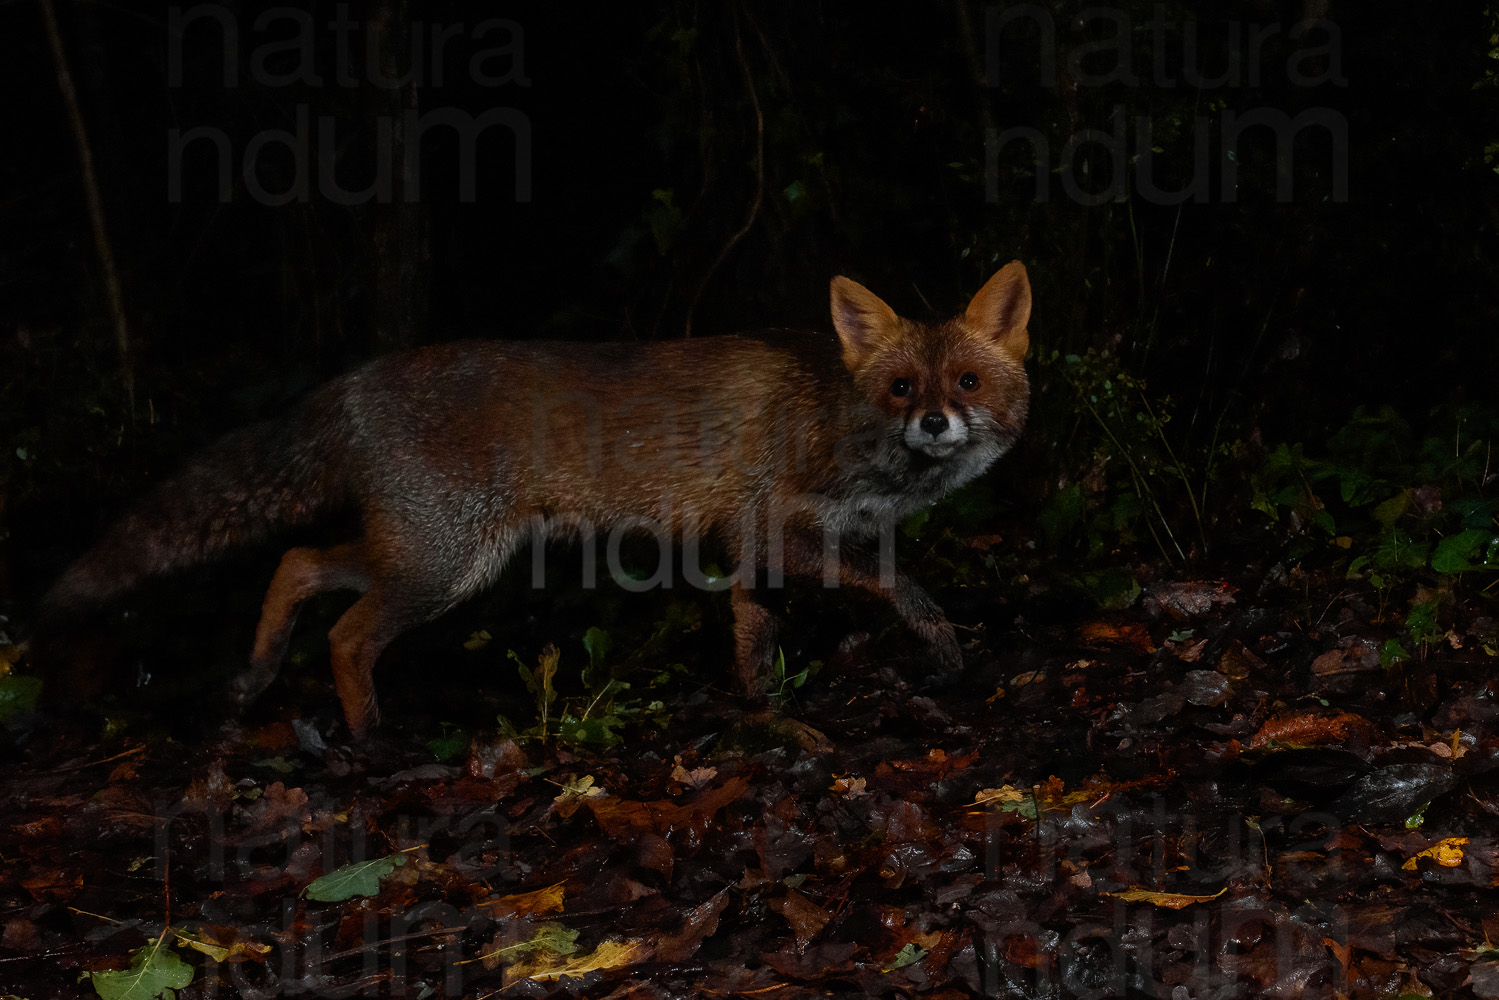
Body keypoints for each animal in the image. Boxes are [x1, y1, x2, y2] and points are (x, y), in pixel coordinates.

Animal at [43, 265, 1031, 734]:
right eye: (901, 387)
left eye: (967, 381)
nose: (935, 423)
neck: (839, 421)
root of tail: (357, 378)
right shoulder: (777, 530)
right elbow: (904, 588)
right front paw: (944, 653)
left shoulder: (749, 551)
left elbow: (754, 639)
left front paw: (764, 712)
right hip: (446, 564)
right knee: (347, 633)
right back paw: (369, 738)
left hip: (429, 551)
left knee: (296, 563)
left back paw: (253, 678)